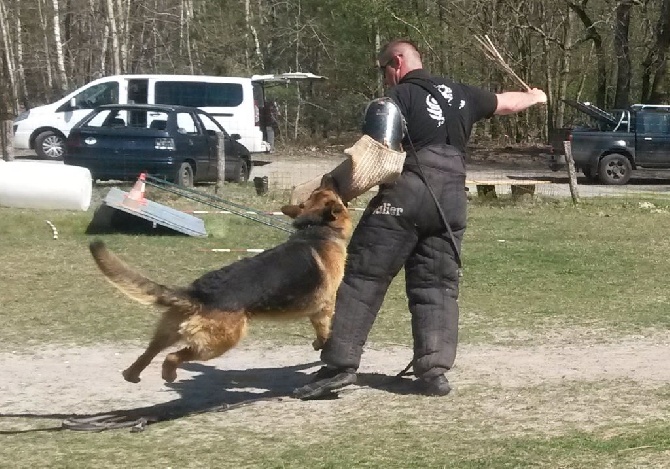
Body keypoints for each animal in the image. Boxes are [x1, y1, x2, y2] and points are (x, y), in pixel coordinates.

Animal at [88, 177, 352, 382]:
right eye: (333, 195)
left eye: (320, 193)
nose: (329, 178)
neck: (316, 227)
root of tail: (198, 293)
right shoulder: (324, 307)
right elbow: (324, 330)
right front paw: (322, 345)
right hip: (220, 342)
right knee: (174, 356)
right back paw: (168, 374)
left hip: (169, 330)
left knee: (150, 351)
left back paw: (132, 374)